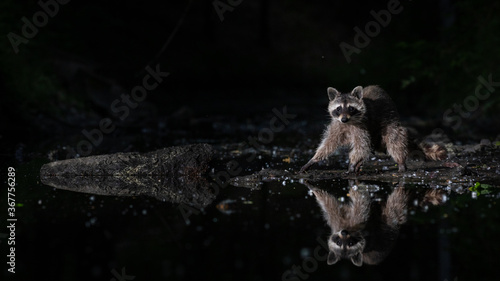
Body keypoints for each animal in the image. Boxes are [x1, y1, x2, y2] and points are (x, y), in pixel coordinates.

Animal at [298, 85, 448, 173]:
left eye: (351, 108)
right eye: (339, 108)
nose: (344, 119)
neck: (348, 122)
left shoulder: (362, 125)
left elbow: (361, 146)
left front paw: (352, 163)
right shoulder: (337, 125)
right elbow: (329, 143)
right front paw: (314, 159)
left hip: (390, 121)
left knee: (394, 140)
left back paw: (400, 162)